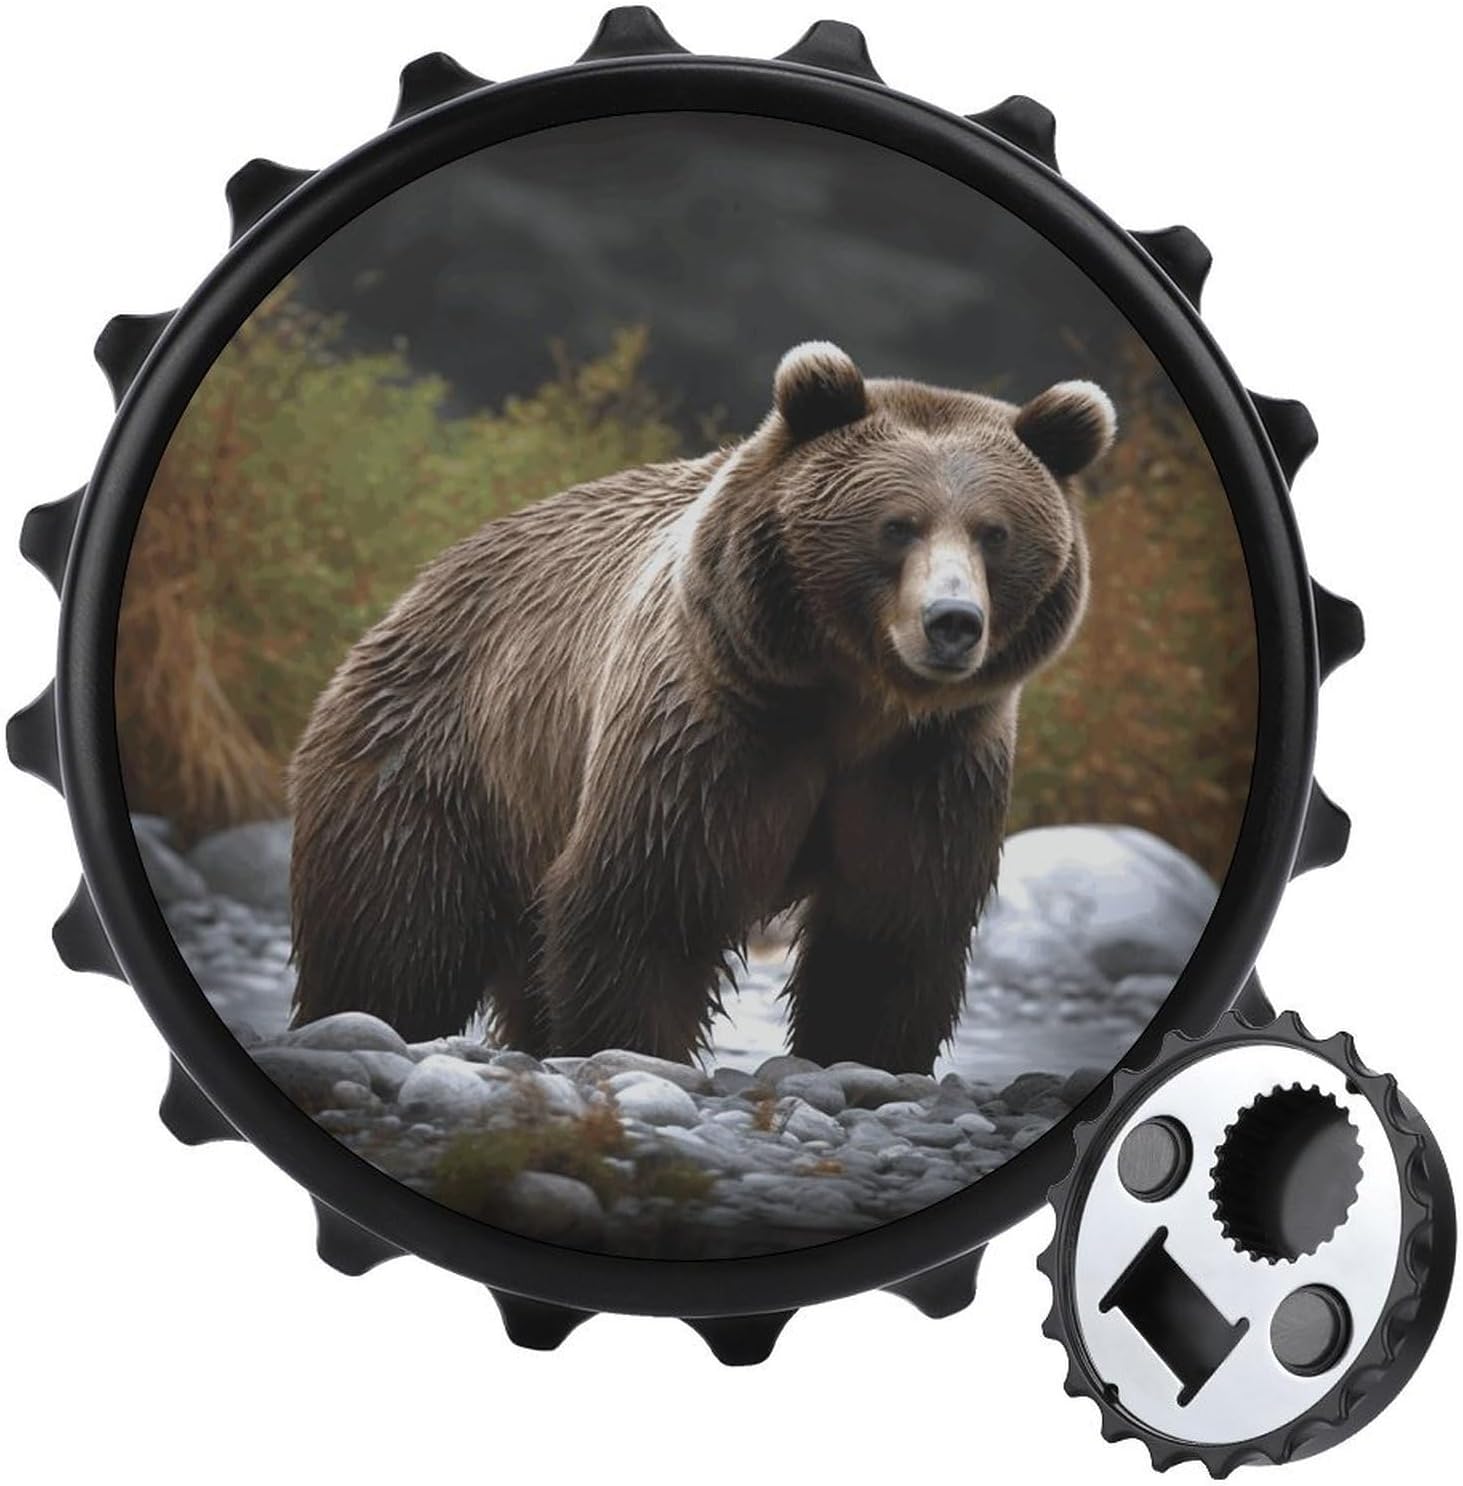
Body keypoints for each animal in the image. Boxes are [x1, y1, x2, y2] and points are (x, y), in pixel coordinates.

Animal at [287, 342, 1115, 1073]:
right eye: (897, 524)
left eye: (994, 534)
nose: (951, 622)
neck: (851, 696)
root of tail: (413, 593)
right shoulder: (712, 721)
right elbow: (647, 903)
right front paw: (630, 1047)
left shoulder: (929, 760)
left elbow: (889, 930)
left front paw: (863, 1056)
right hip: (433, 764)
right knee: (395, 940)